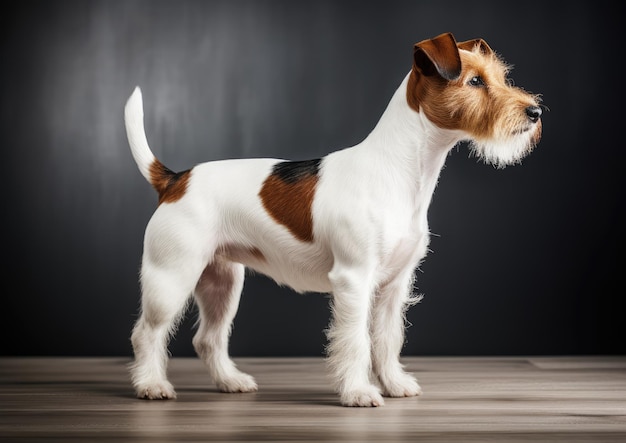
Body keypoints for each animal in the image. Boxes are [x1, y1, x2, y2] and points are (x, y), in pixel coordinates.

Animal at [123, 31, 540, 408]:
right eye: (475, 81)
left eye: (501, 76)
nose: (535, 112)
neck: (399, 169)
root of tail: (175, 179)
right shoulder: (354, 280)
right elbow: (356, 341)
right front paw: (358, 392)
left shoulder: (394, 286)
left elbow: (387, 340)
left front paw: (393, 383)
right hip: (172, 277)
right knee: (146, 333)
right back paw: (151, 385)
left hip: (221, 282)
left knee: (207, 339)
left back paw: (230, 381)